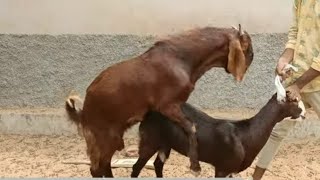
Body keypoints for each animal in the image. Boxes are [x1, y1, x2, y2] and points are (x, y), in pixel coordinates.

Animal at [65, 25, 255, 177]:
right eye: (248, 49)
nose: (252, 58)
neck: (181, 59)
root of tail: (83, 112)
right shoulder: (167, 105)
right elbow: (191, 127)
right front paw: (195, 166)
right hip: (104, 136)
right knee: (96, 168)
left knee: (104, 165)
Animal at [131, 93, 304, 178]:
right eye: (294, 101)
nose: (303, 113)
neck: (245, 135)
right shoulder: (222, 168)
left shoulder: (230, 171)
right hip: (149, 141)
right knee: (137, 167)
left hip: (165, 144)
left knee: (157, 164)